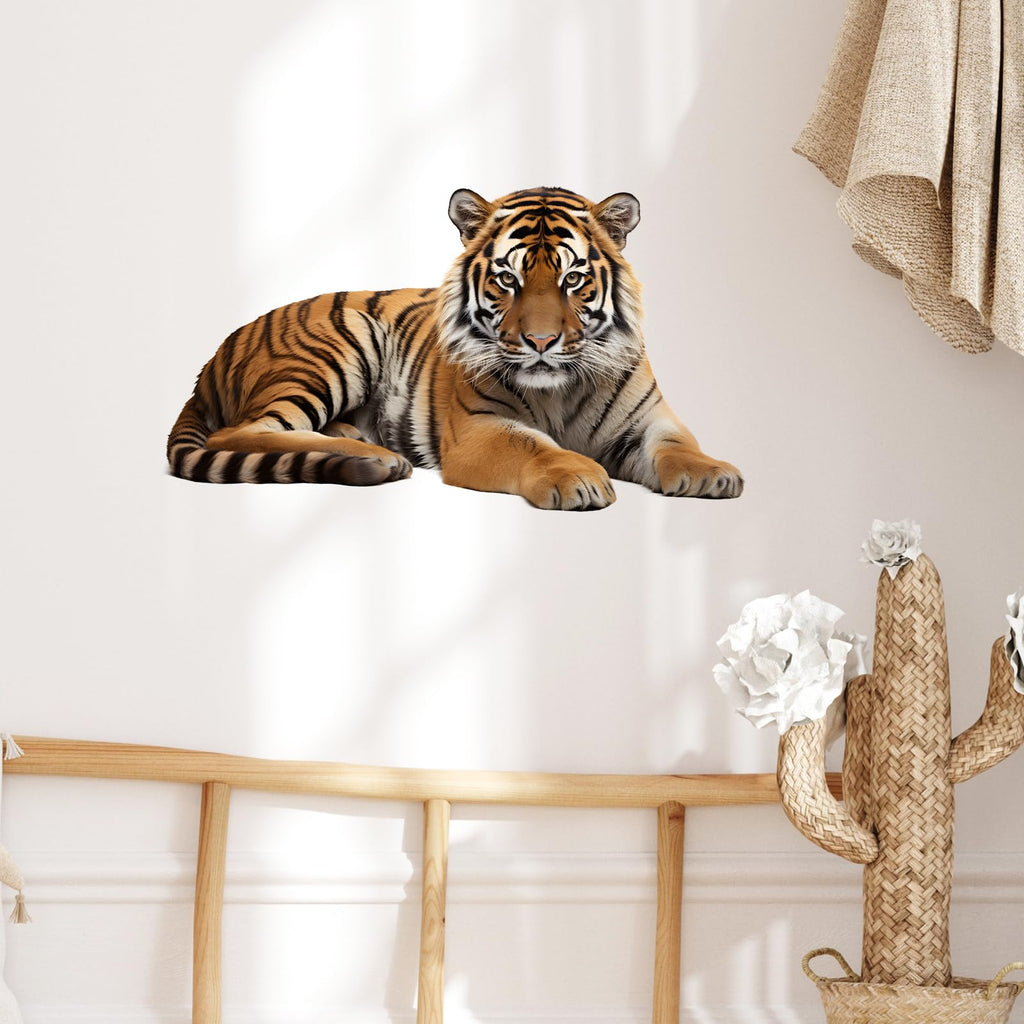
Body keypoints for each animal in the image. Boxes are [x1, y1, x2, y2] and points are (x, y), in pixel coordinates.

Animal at [167, 186, 743, 510]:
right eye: (508, 279)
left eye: (573, 279)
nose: (540, 341)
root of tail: (211, 359)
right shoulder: (478, 430)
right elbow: (534, 445)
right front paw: (577, 476)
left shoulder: (649, 420)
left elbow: (679, 446)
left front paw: (715, 473)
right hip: (338, 345)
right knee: (239, 433)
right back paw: (378, 457)